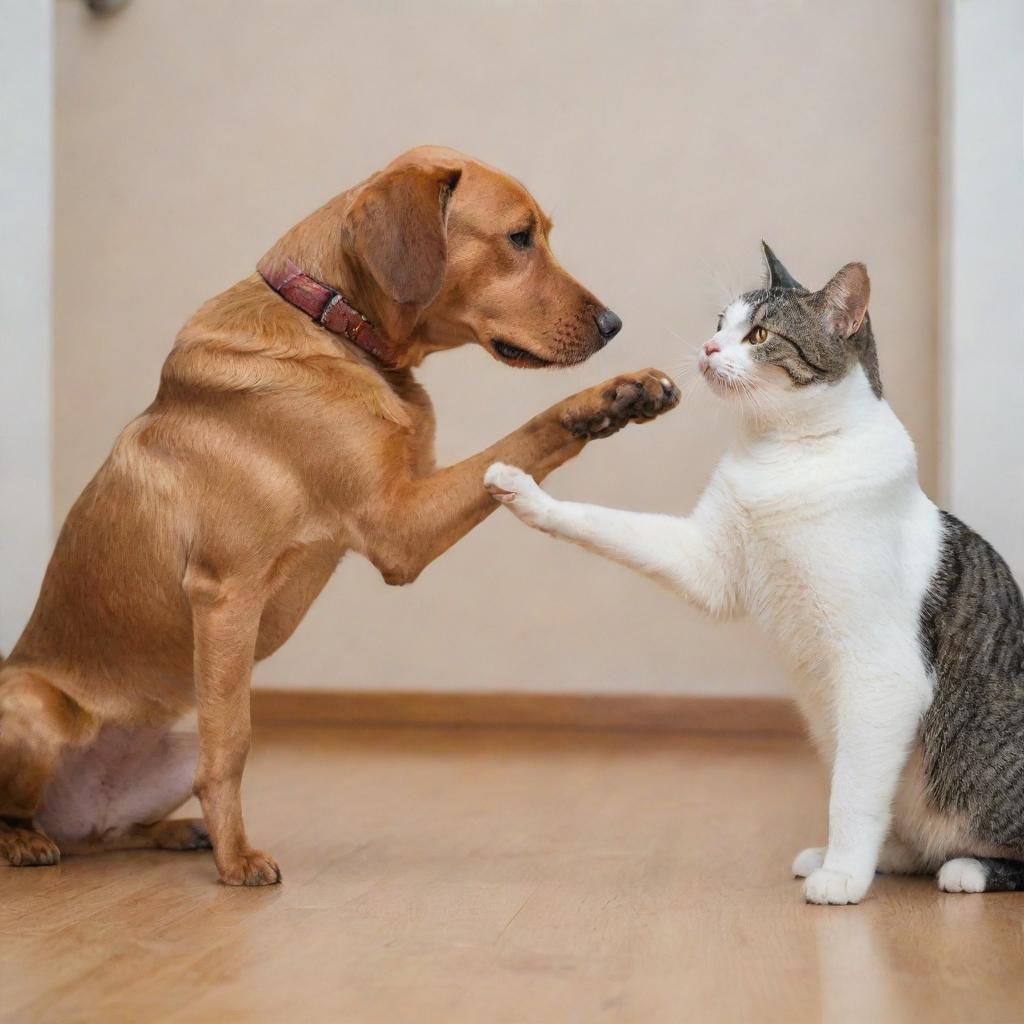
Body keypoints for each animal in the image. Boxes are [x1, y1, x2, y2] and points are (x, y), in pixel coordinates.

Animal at [0, 148, 679, 884]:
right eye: (520, 237)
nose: (613, 325)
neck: (332, 322)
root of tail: (73, 818)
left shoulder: (407, 498)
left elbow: (529, 441)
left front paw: (617, 399)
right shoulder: (341, 550)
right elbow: (233, 745)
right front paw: (239, 861)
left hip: (167, 742)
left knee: (114, 831)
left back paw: (173, 832)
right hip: (34, 705)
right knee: (35, 811)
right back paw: (29, 843)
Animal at [483, 245, 1024, 905]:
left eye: (760, 335)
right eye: (721, 322)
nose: (709, 347)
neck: (782, 454)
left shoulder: (881, 674)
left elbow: (851, 794)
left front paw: (843, 876)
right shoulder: (707, 562)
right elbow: (606, 524)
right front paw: (523, 492)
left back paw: (961, 868)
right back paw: (891, 855)